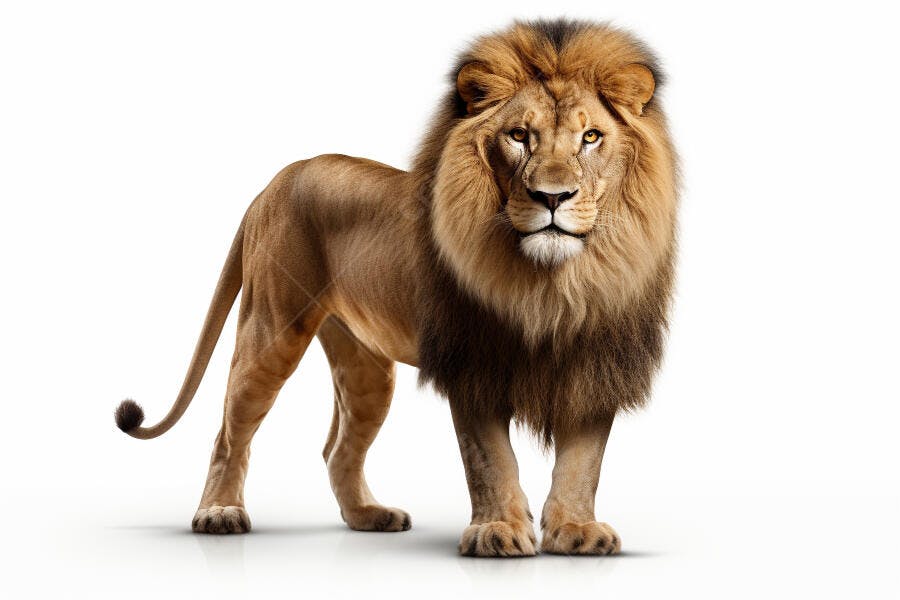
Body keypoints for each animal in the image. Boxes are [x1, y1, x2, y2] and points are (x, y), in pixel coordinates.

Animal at [114, 19, 678, 557]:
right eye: (519, 136)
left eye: (591, 138)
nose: (552, 197)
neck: (556, 284)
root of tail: (277, 180)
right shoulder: (470, 362)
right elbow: (490, 459)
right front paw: (497, 532)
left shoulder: (596, 361)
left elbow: (583, 462)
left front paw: (577, 531)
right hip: (270, 331)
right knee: (229, 432)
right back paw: (218, 514)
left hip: (365, 365)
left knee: (337, 449)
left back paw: (369, 516)